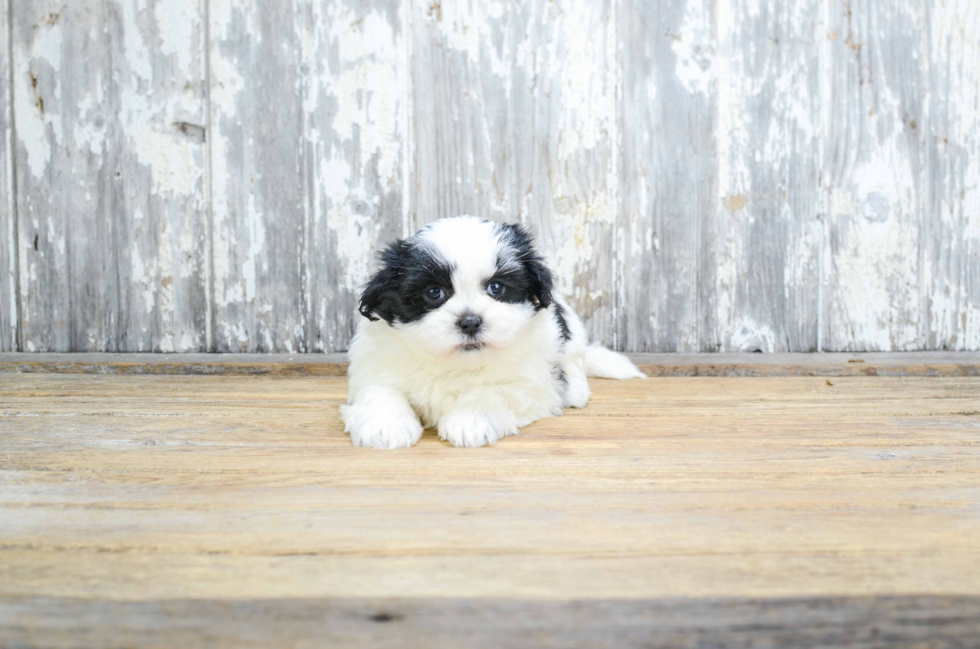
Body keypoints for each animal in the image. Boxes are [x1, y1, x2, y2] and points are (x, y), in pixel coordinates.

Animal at [340, 215, 648, 448]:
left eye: (496, 288)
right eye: (434, 293)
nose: (470, 321)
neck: (456, 363)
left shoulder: (527, 382)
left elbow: (490, 392)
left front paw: (470, 419)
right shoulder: (376, 363)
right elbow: (379, 390)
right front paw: (386, 424)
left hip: (571, 334)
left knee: (574, 363)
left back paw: (576, 391)